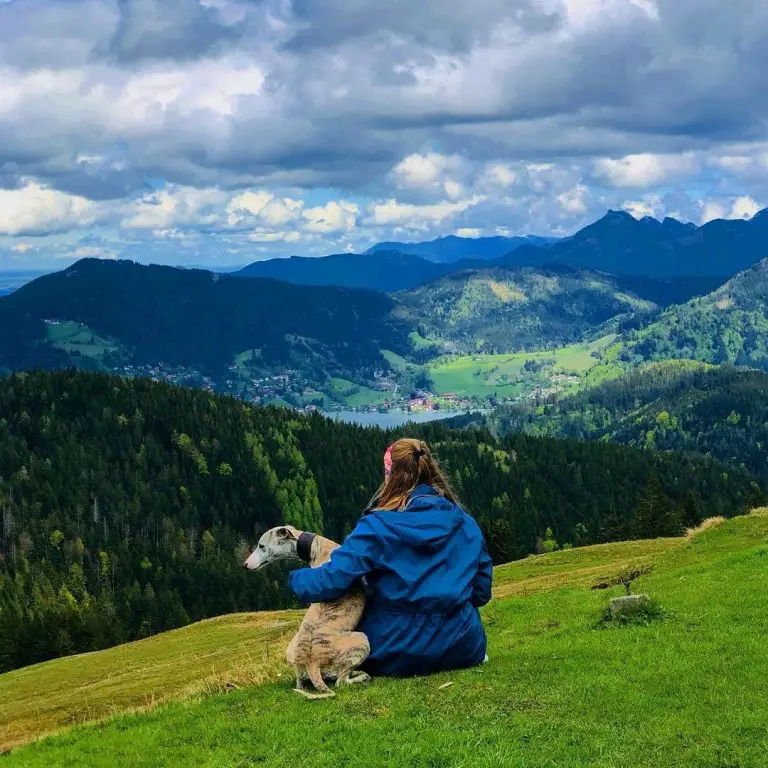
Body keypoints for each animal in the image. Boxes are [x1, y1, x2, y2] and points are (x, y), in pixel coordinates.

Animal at [243, 524, 368, 700]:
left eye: (261, 546)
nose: (244, 565)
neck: (318, 548)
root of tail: (311, 664)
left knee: (302, 683)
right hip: (361, 641)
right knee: (341, 682)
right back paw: (361, 676)